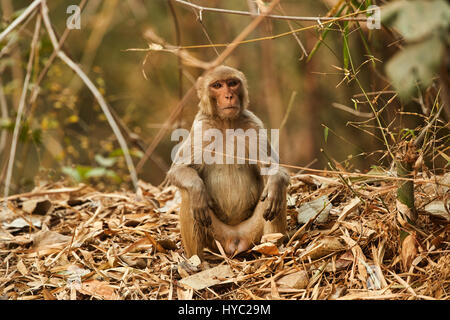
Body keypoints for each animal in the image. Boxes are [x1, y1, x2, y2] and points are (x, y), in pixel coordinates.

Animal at [167, 65, 290, 260]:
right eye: (217, 85)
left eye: (232, 83)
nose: (228, 96)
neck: (226, 124)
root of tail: (235, 239)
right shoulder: (202, 127)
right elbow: (180, 170)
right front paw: (197, 189)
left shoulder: (254, 125)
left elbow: (274, 170)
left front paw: (276, 180)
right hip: (216, 239)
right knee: (189, 196)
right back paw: (196, 261)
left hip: (252, 235)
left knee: (275, 193)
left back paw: (273, 250)